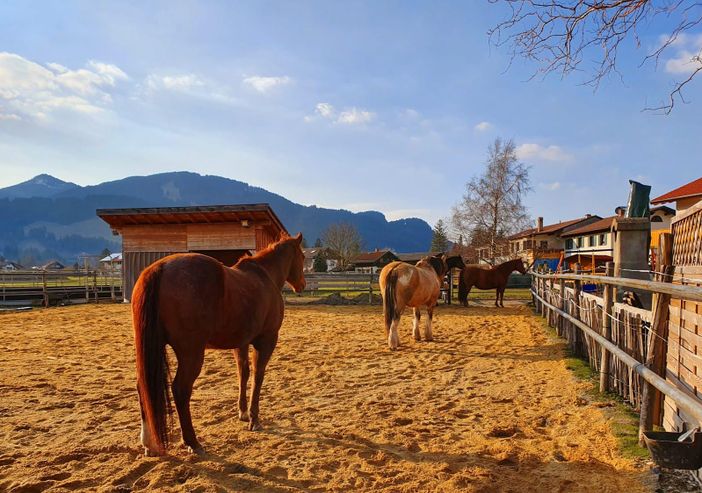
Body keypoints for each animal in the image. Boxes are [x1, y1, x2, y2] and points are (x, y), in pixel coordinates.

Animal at [133, 233, 306, 456]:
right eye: (303, 256)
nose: (302, 285)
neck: (265, 276)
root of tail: (159, 268)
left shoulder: (241, 343)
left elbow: (243, 373)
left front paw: (242, 412)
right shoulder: (266, 340)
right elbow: (258, 376)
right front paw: (254, 419)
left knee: (143, 387)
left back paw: (149, 443)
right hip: (191, 353)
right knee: (180, 389)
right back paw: (192, 442)